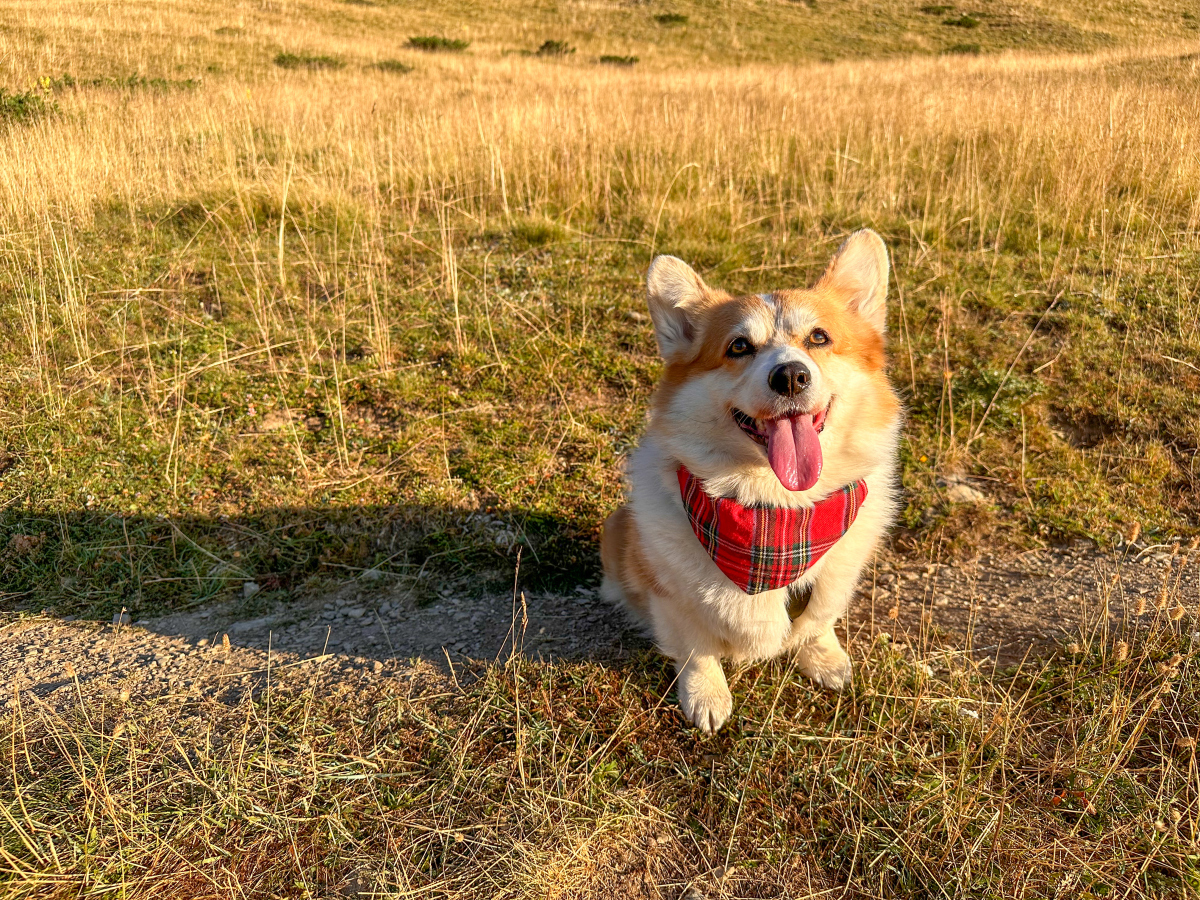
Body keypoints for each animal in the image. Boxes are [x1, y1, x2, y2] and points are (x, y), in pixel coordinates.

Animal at [600, 230, 902, 734]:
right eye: (739, 346)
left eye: (819, 337)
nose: (791, 376)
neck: (779, 508)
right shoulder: (670, 597)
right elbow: (697, 651)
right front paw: (706, 697)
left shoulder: (832, 578)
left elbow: (818, 620)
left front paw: (823, 658)